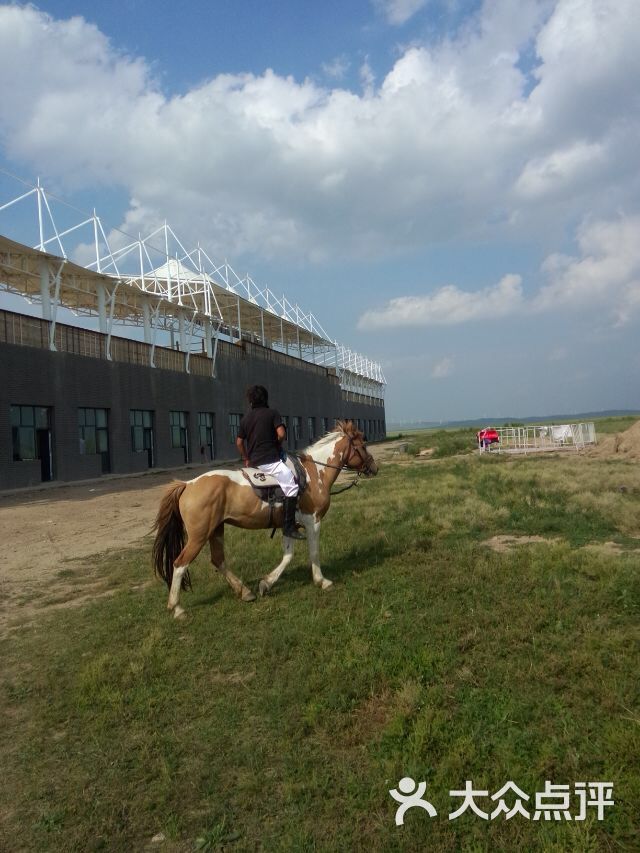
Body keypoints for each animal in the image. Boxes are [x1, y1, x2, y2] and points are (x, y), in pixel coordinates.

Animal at [152, 422, 378, 616]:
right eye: (363, 446)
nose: (374, 468)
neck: (314, 473)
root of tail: (188, 484)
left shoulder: (289, 525)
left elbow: (288, 556)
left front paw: (266, 583)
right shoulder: (312, 521)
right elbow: (313, 552)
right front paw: (322, 581)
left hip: (215, 530)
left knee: (218, 560)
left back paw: (244, 591)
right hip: (199, 536)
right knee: (180, 564)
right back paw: (177, 607)